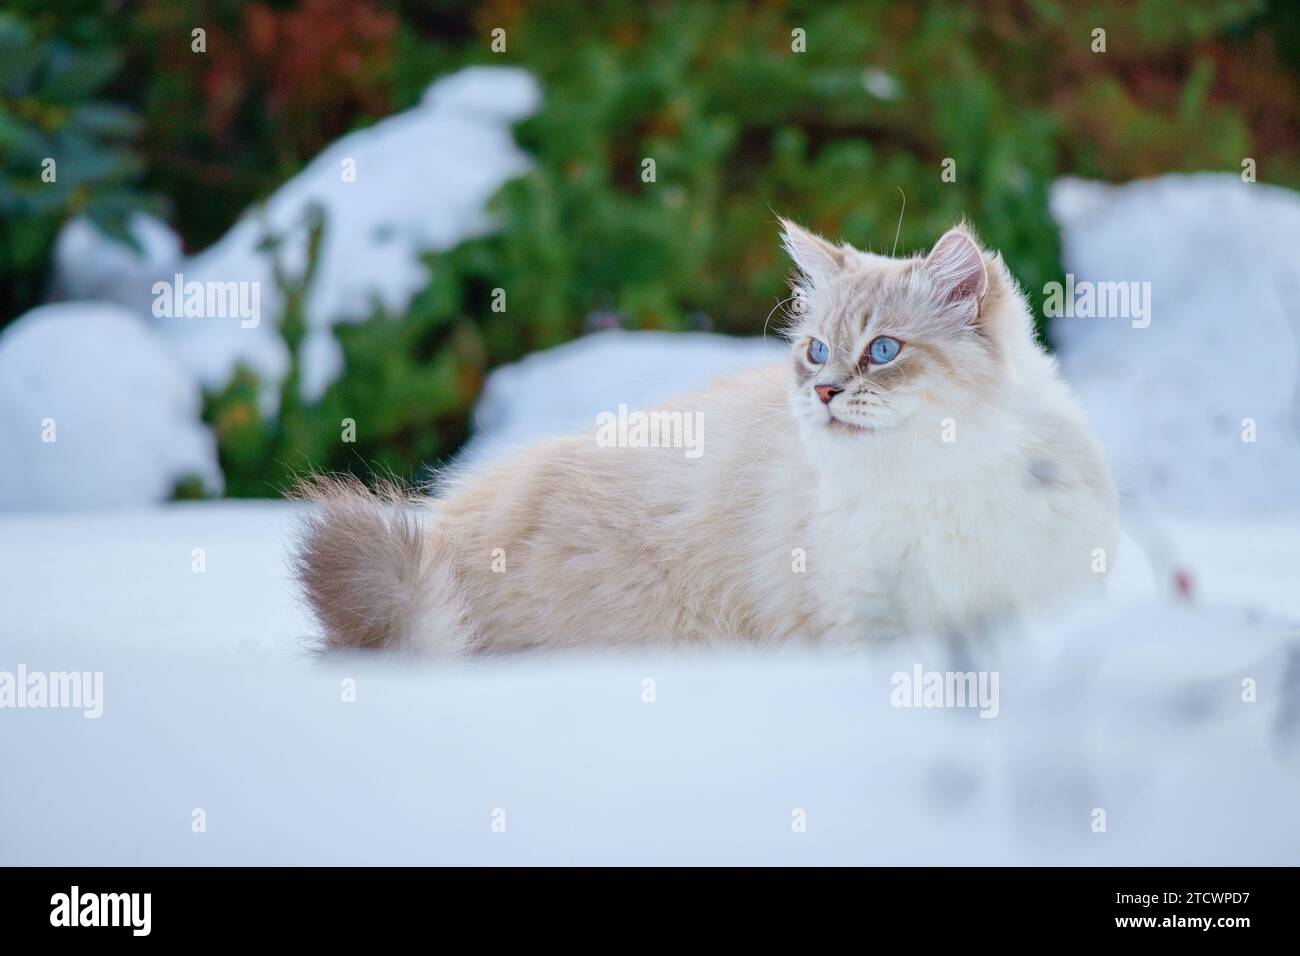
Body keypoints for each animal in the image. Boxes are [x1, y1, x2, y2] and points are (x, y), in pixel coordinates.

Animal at [295, 222, 1118, 658]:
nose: (823, 392)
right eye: (818, 352)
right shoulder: (864, 624)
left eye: (882, 351)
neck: (932, 486)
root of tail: (438, 547)